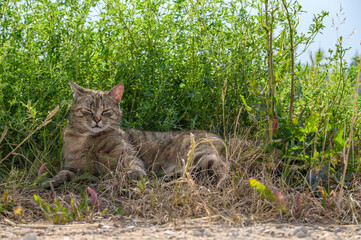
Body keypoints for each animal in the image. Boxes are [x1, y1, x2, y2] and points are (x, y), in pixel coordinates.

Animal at [41, 81, 228, 188]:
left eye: (105, 112)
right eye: (88, 111)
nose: (96, 120)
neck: (91, 140)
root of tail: (219, 137)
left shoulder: (126, 153)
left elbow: (134, 165)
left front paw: (135, 175)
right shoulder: (75, 167)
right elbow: (62, 174)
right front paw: (49, 182)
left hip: (198, 155)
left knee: (224, 168)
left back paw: (220, 183)